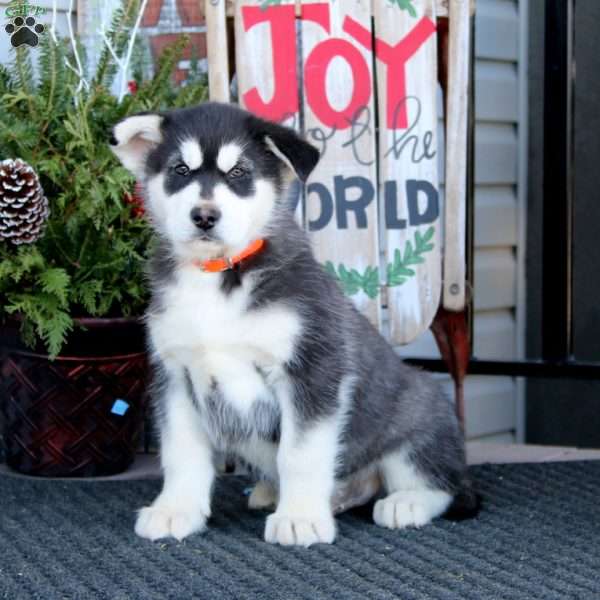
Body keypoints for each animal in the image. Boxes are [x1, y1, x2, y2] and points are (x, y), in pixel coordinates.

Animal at [110, 101, 478, 548]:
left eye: (240, 172)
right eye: (181, 170)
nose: (204, 216)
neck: (218, 277)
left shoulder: (311, 371)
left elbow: (300, 454)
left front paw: (300, 517)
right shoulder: (176, 376)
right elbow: (182, 453)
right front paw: (176, 510)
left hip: (417, 418)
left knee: (437, 482)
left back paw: (405, 502)